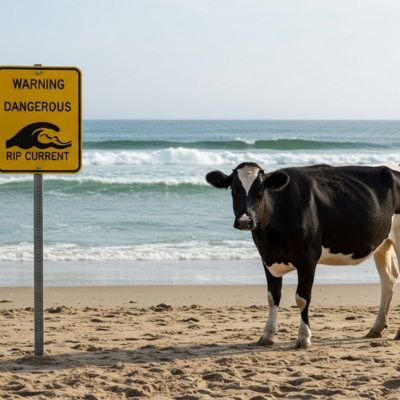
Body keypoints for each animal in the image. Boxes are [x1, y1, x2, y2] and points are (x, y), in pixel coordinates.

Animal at [206, 161, 400, 348]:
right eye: (234, 189)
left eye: (260, 191)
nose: (245, 221)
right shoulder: (267, 257)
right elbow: (272, 297)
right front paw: (267, 336)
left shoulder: (308, 257)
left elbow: (302, 298)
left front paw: (304, 338)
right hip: (382, 243)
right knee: (388, 279)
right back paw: (376, 329)